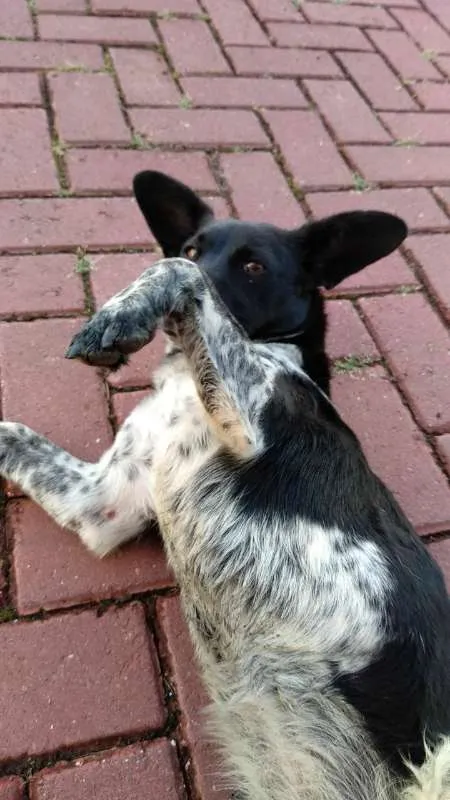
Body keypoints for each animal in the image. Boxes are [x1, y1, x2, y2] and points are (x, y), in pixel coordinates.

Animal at [0, 170, 450, 800]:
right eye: (194, 247)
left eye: (253, 266)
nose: (164, 321)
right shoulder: (102, 502)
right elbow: (15, 434)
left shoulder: (250, 422)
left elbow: (172, 276)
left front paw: (118, 317)